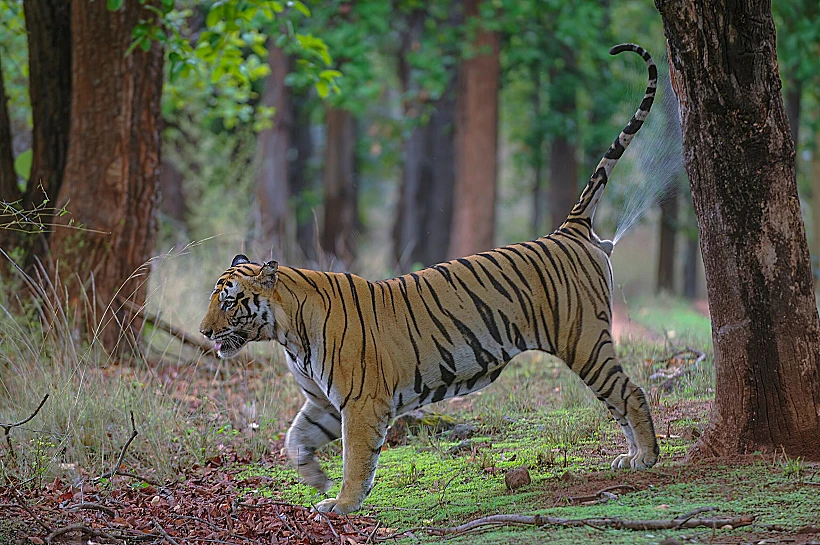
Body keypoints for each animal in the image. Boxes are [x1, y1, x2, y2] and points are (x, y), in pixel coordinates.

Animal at [200, 43, 659, 515]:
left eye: (229, 300)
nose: (203, 332)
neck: (287, 333)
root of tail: (567, 230)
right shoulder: (322, 402)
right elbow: (294, 438)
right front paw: (314, 478)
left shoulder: (361, 401)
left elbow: (356, 457)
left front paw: (342, 503)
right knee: (620, 398)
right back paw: (632, 457)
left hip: (583, 339)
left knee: (630, 392)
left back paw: (646, 457)